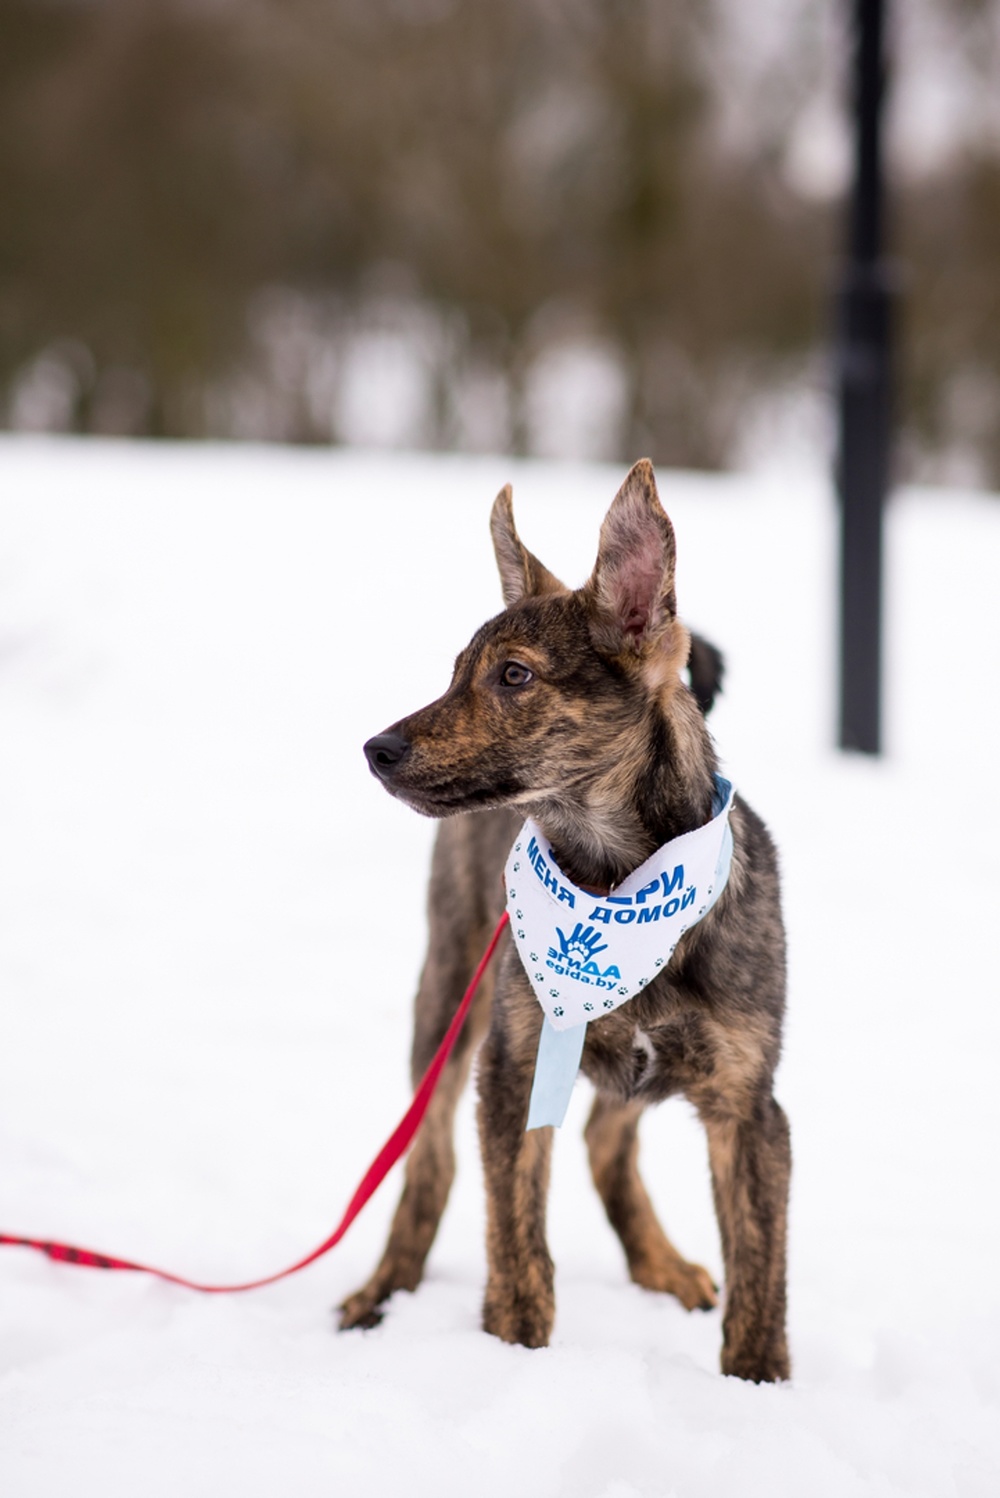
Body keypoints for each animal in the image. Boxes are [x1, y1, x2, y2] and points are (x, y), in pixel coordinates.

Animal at [339, 455, 790, 1378]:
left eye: (514, 675)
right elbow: (517, 1243)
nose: (375, 751)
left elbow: (760, 1275)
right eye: (454, 671)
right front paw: (514, 1356)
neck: (616, 889)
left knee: (604, 1144)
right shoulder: (514, 1068)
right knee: (429, 1164)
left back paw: (659, 1264)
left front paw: (758, 1387)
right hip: (446, 997)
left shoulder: (751, 1105)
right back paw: (383, 1292)